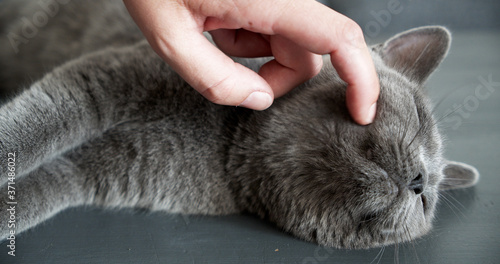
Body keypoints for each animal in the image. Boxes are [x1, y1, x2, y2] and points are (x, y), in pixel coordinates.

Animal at [0, 0, 480, 249]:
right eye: (417, 112)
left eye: (428, 202)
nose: (419, 180)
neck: (224, 145)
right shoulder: (108, 77)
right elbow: (32, 128)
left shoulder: (101, 169)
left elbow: (39, 192)